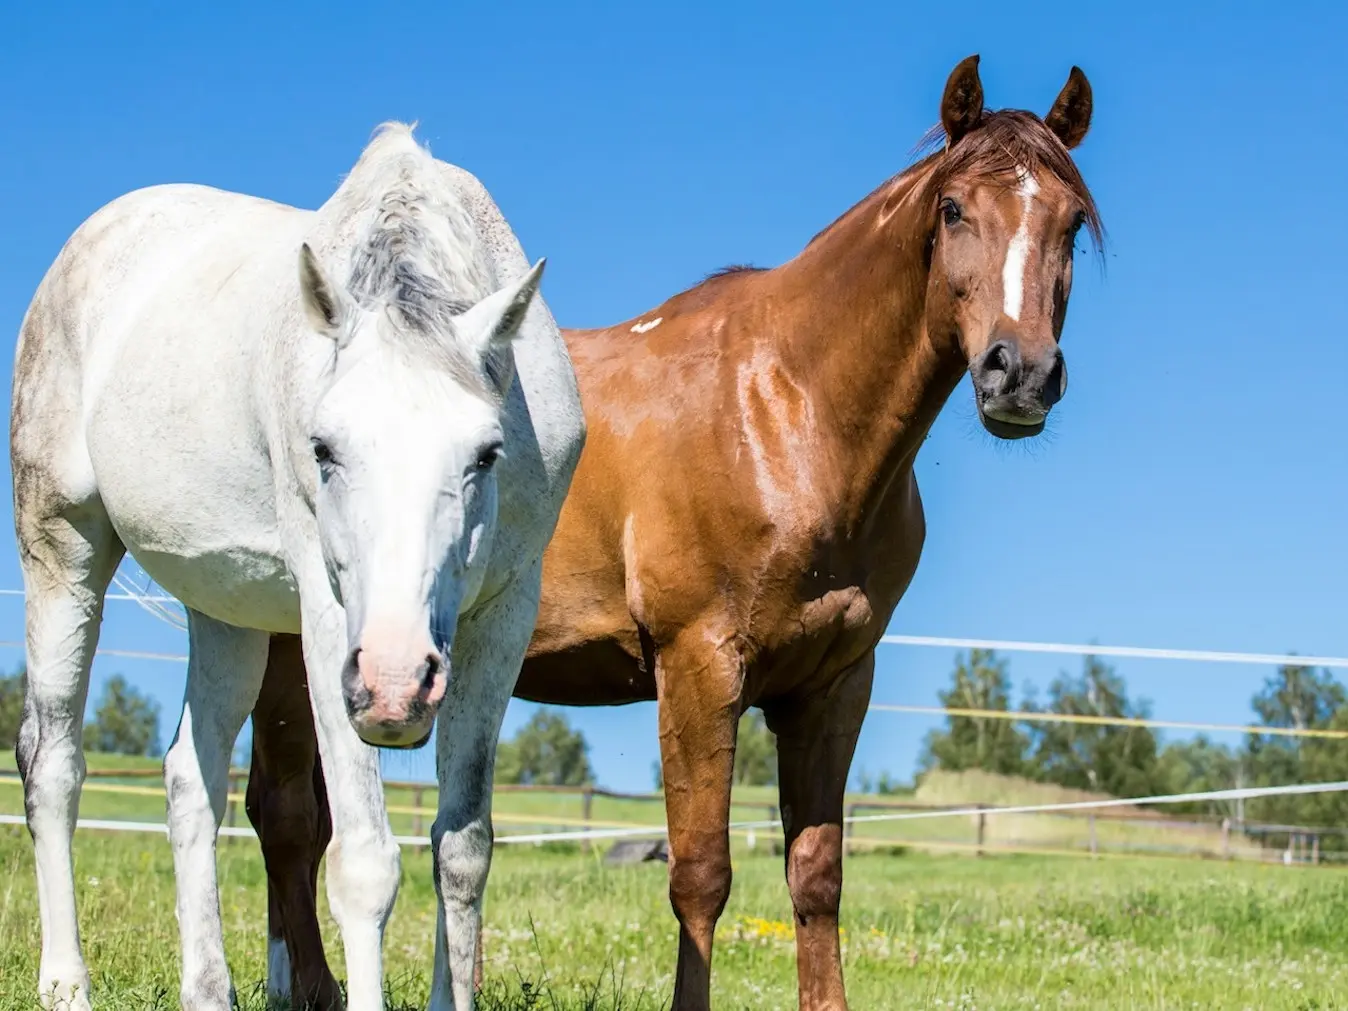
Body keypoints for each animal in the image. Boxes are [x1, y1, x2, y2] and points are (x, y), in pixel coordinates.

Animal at [6, 126, 585, 1011]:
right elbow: (364, 863)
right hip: (62, 550)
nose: (394, 683)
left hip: (227, 614)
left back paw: (207, 989)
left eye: (486, 453)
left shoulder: (503, 614)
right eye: (324, 447)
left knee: (191, 779)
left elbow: (462, 848)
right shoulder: (325, 614)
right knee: (53, 761)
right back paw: (66, 981)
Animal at [248, 55, 1099, 1011]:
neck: (785, 412)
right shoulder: (699, 668)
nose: (1019, 373)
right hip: (301, 648)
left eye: (1070, 222)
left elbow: (817, 874)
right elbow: (701, 876)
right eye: (954, 208)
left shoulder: (833, 686)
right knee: (287, 816)